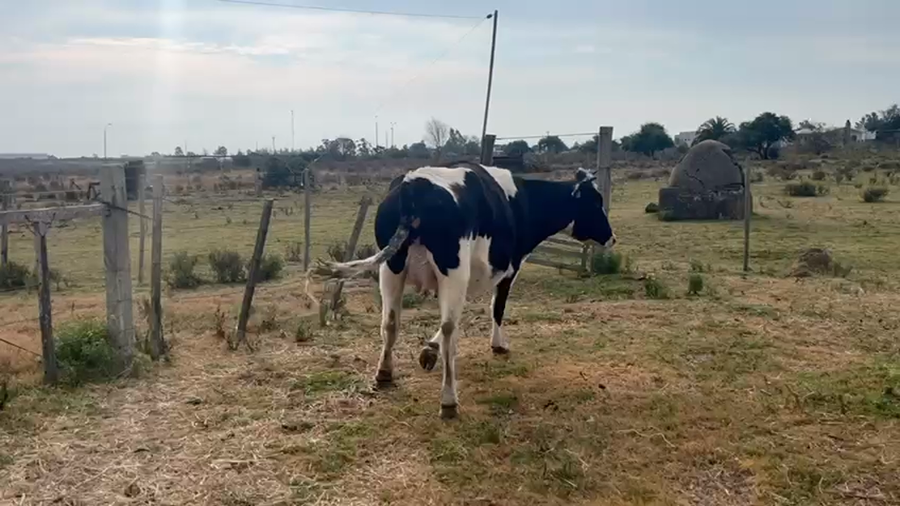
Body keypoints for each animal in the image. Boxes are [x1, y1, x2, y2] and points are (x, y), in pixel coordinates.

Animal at [316, 161, 615, 419]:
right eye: (595, 202)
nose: (611, 238)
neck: (523, 201)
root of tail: (414, 186)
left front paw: (429, 349)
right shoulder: (508, 269)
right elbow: (497, 308)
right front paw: (498, 344)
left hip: (391, 267)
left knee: (391, 322)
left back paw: (384, 374)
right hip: (453, 270)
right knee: (450, 330)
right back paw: (449, 400)